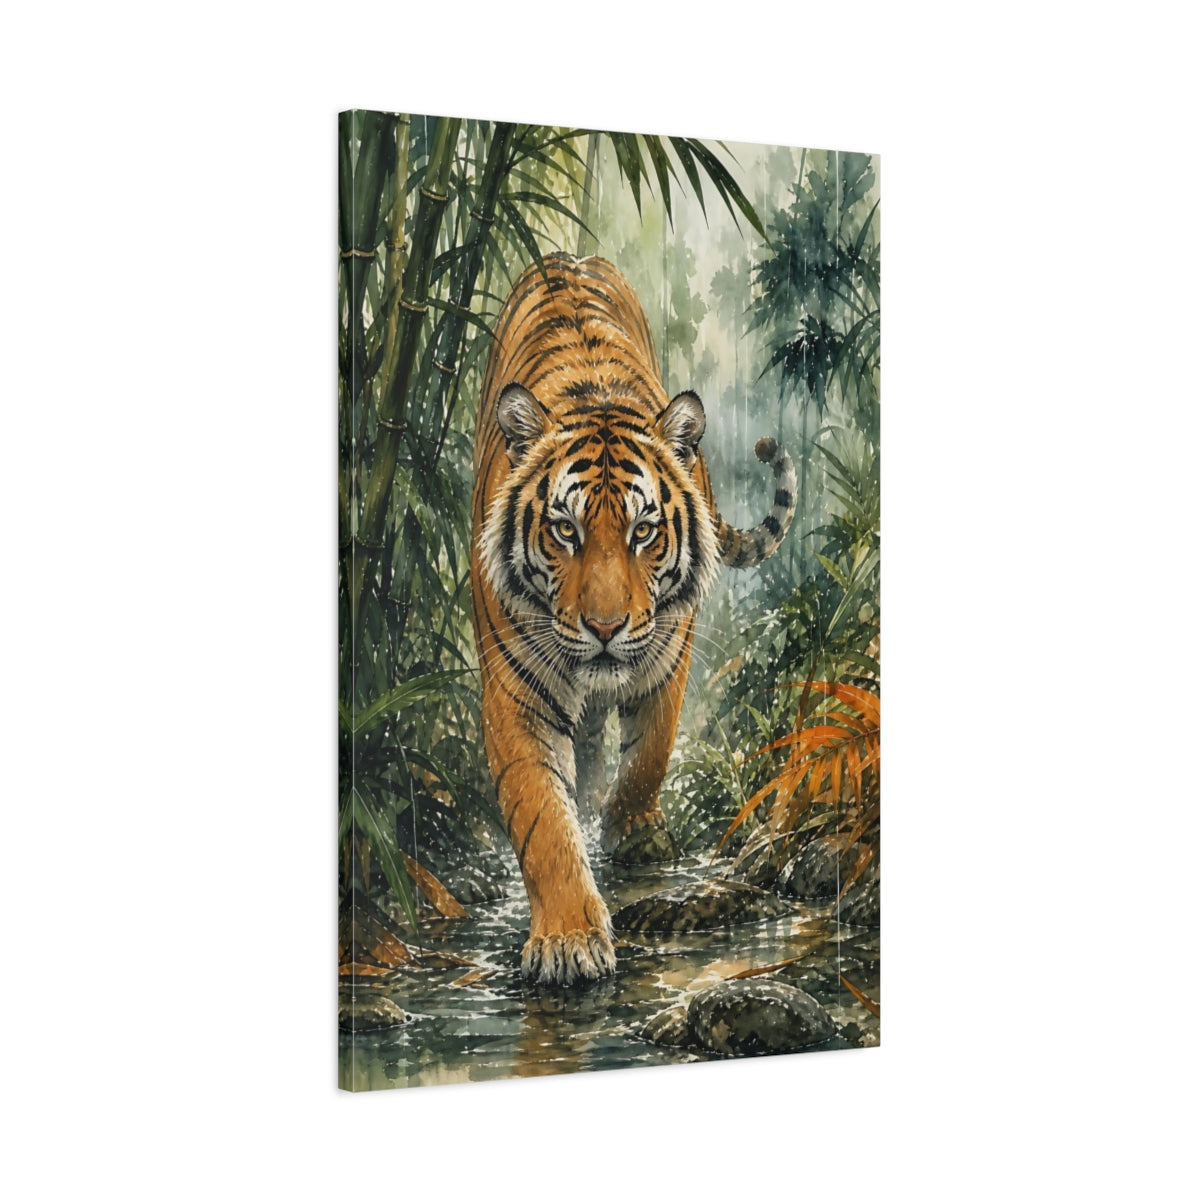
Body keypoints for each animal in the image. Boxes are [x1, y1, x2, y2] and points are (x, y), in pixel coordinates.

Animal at [470, 254, 796, 986]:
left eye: (644, 531)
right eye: (564, 530)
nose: (605, 627)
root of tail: (569, 256)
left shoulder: (669, 652)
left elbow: (650, 753)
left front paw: (635, 834)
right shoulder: (514, 692)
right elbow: (543, 818)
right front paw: (568, 939)